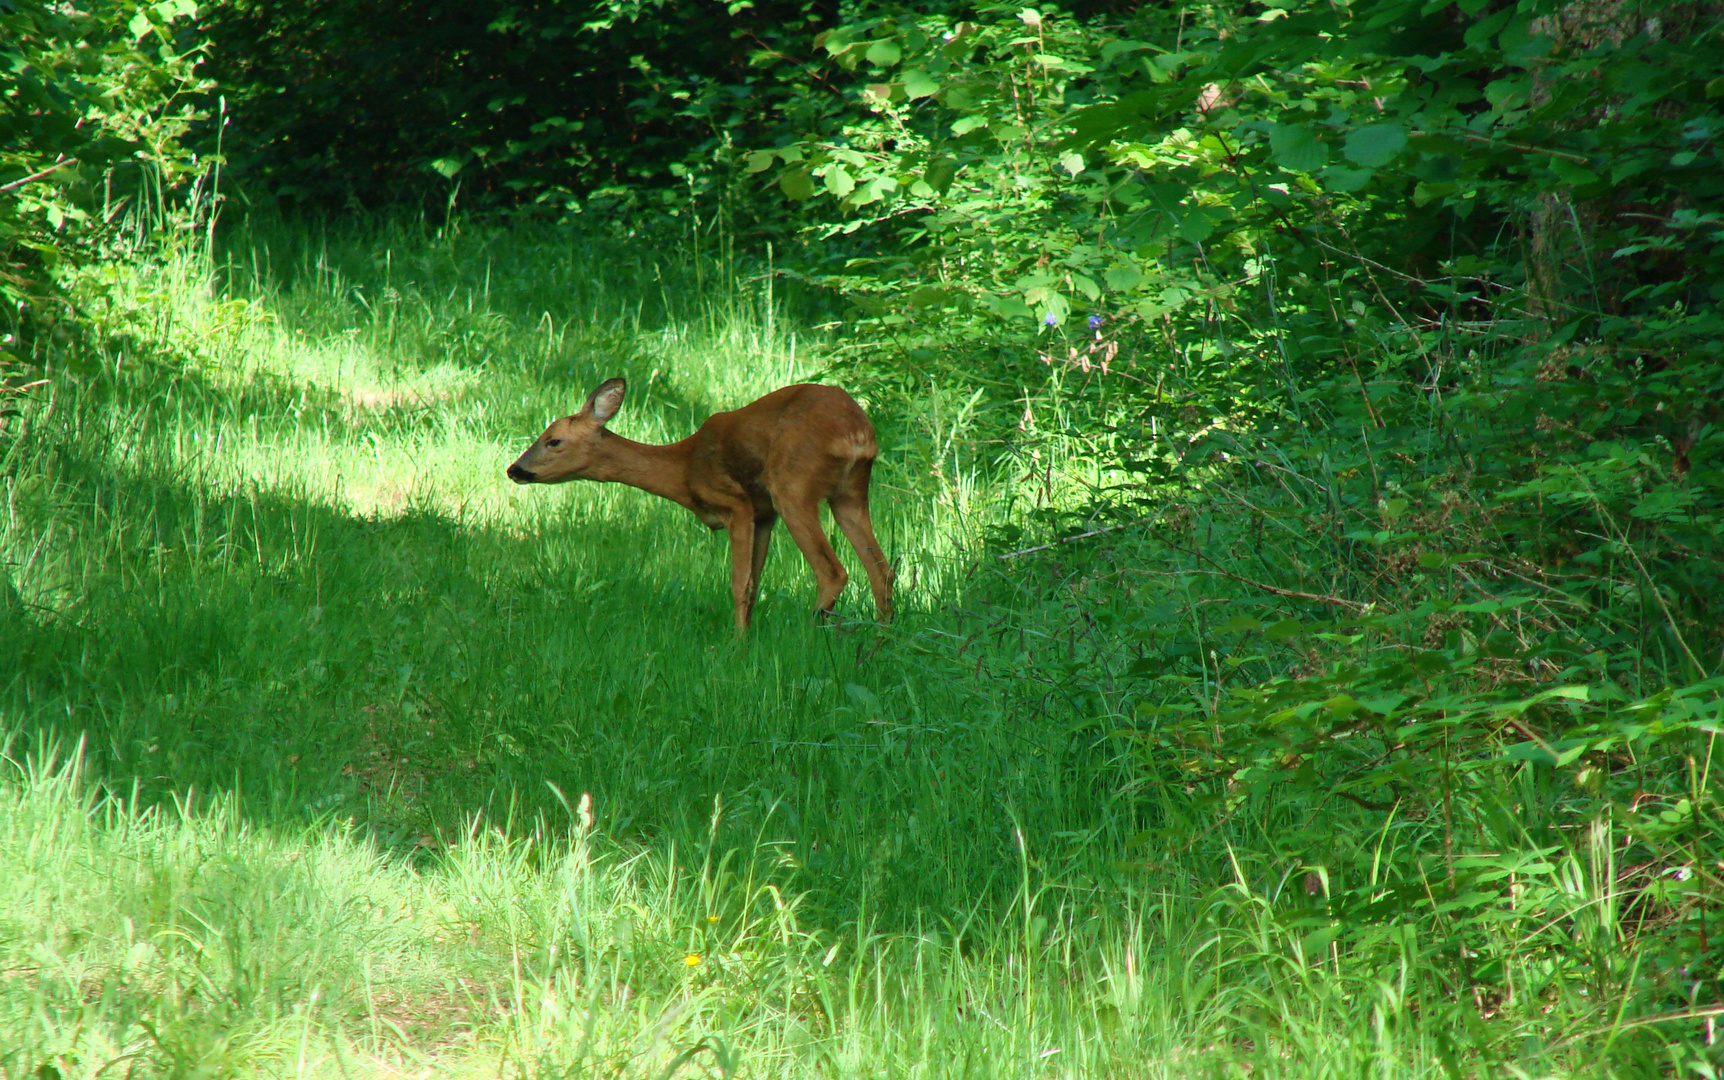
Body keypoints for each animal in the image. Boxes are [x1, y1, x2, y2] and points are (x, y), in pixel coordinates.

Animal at [503, 376, 896, 631]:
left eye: (553, 440)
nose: (514, 469)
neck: (684, 468)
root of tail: (858, 434)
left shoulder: (736, 503)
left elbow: (739, 584)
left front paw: (737, 647)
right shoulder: (763, 514)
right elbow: (754, 584)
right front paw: (747, 638)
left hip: (792, 485)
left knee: (833, 572)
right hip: (850, 493)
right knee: (882, 570)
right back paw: (881, 640)